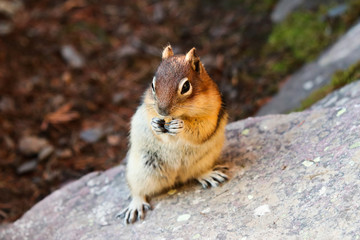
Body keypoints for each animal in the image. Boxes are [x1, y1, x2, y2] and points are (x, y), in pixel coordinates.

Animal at [118, 45, 228, 223]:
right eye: (153, 85)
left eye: (186, 87)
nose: (162, 111)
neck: (181, 114)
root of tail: (176, 178)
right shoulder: (149, 107)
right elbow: (156, 128)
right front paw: (155, 124)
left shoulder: (212, 111)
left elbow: (201, 129)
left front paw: (180, 126)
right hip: (141, 169)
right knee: (137, 190)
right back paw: (136, 205)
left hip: (204, 159)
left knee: (197, 172)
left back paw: (209, 175)